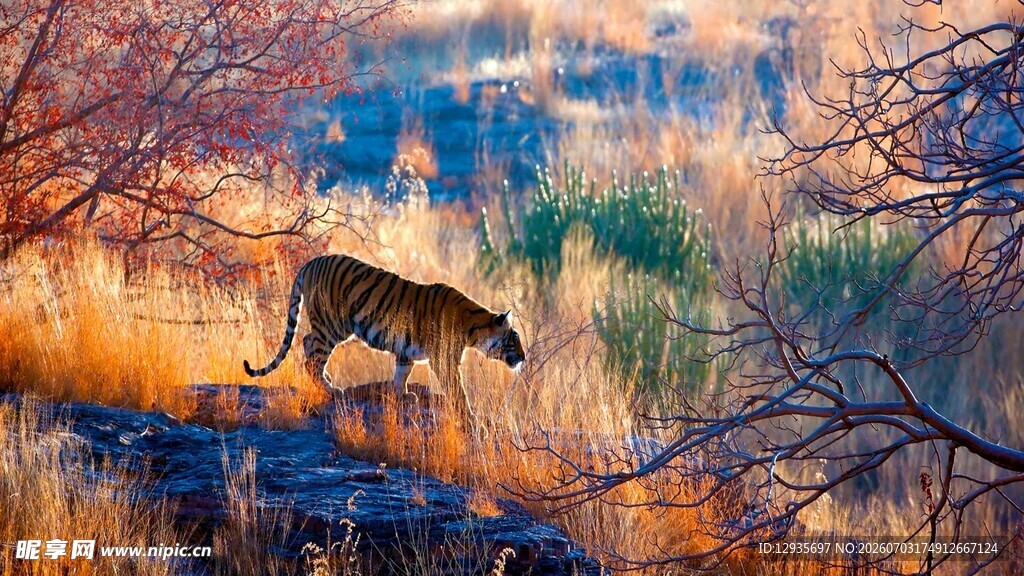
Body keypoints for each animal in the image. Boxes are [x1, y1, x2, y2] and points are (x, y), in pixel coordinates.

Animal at [243, 254, 526, 428]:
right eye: (514, 339)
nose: (523, 358)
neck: (474, 328)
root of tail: (311, 262)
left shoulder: (406, 352)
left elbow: (401, 375)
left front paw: (404, 396)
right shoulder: (445, 362)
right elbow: (458, 391)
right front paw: (472, 419)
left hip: (329, 325)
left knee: (306, 343)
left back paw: (328, 380)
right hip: (332, 324)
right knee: (312, 354)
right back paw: (331, 389)